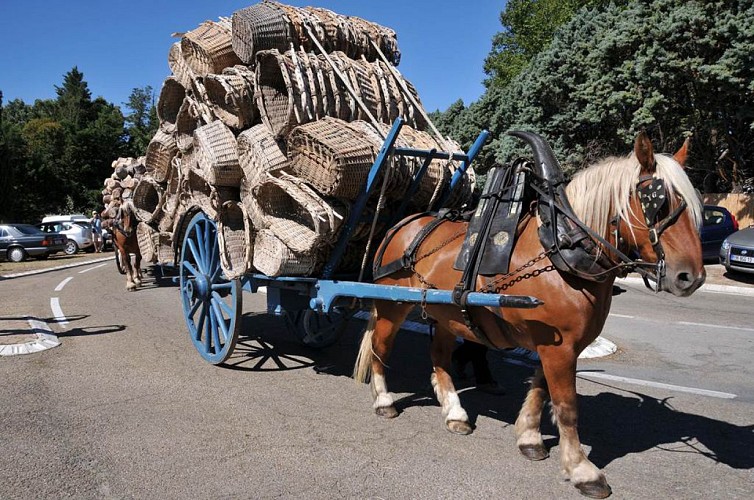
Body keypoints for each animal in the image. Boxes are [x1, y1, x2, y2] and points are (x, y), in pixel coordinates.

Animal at [354, 131, 704, 498]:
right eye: (659, 203)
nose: (690, 277)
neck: (563, 251)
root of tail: (400, 226)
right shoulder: (558, 347)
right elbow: (566, 407)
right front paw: (582, 469)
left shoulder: (557, 345)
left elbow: (540, 389)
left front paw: (529, 437)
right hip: (392, 304)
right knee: (380, 348)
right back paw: (384, 400)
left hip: (447, 313)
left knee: (439, 357)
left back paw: (455, 413)